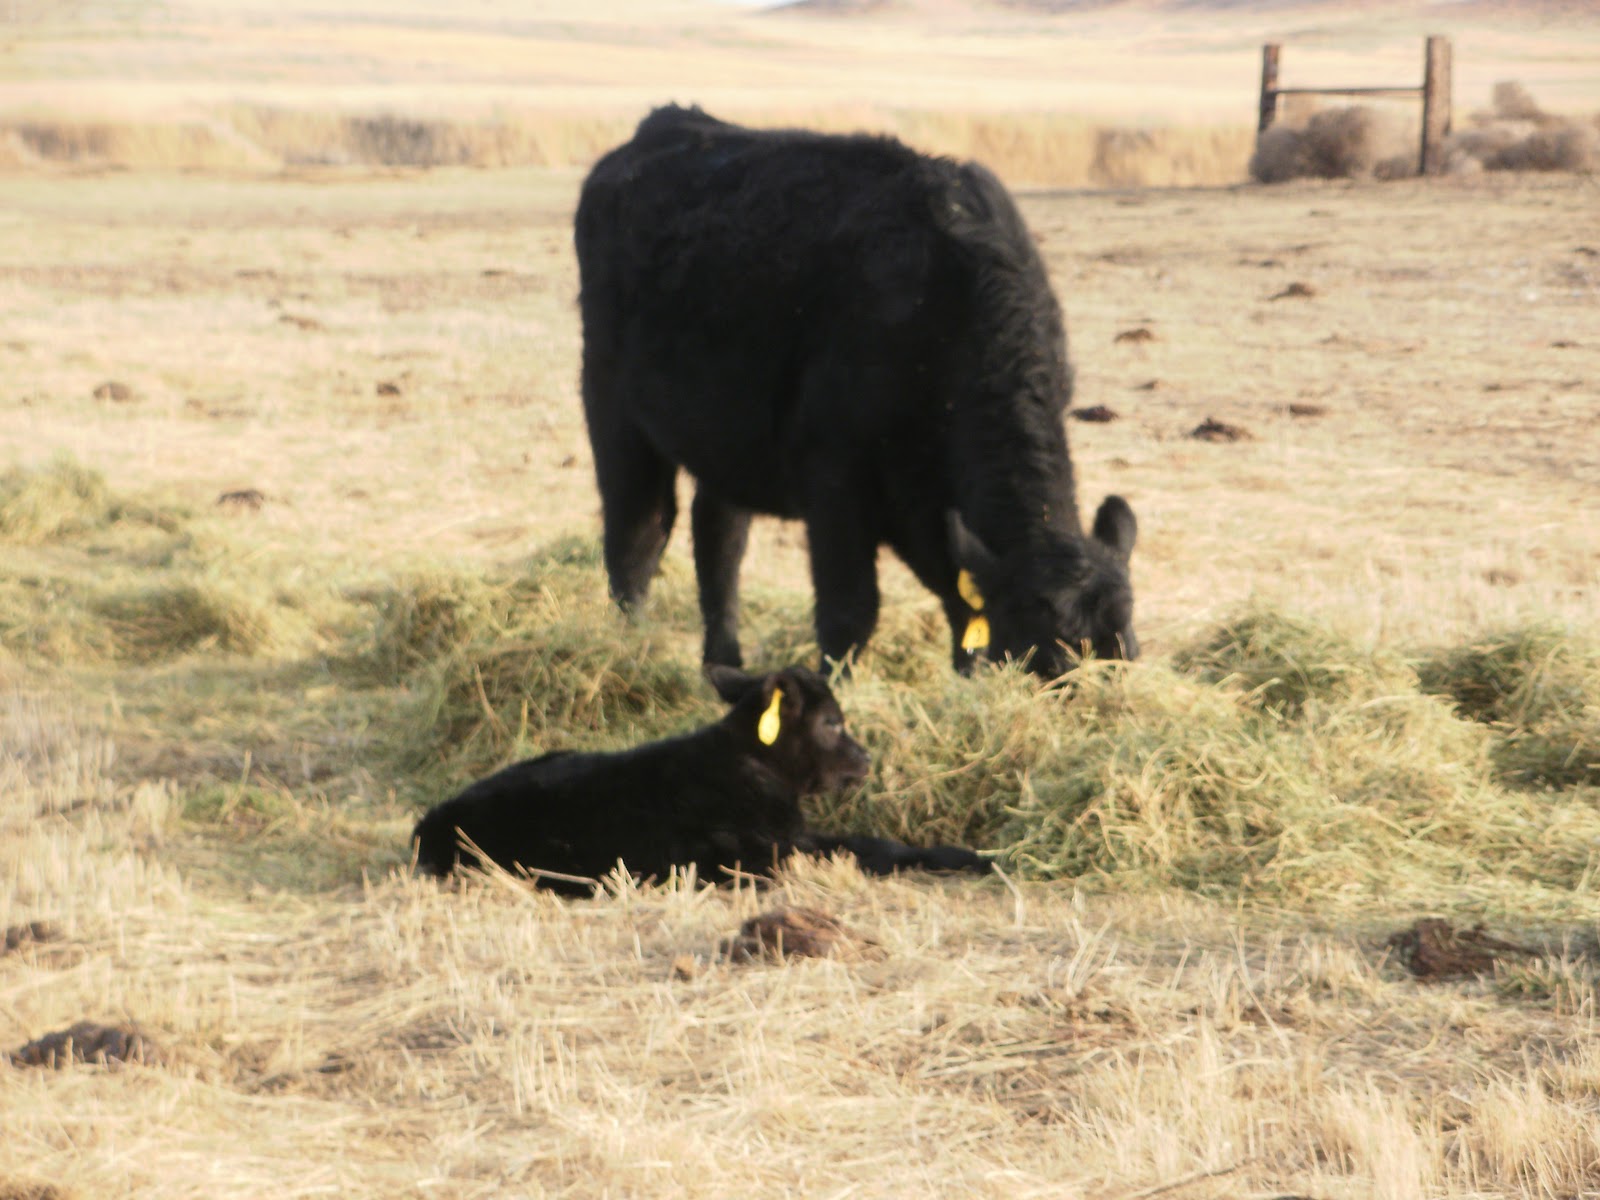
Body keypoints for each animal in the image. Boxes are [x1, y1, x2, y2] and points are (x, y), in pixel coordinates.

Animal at [412, 664, 989, 894]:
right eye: (831, 721)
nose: (866, 759)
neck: (745, 764)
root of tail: (431, 822)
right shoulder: (764, 853)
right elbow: (869, 846)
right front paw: (968, 857)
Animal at [574, 104, 1138, 679]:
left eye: (1127, 652)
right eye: (1050, 659)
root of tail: (666, 121)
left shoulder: (929, 510)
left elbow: (961, 612)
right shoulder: (834, 476)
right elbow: (850, 612)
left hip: (726, 437)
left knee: (718, 534)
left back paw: (723, 665)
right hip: (612, 407)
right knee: (637, 533)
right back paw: (630, 651)